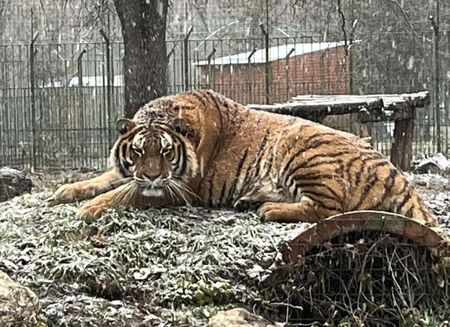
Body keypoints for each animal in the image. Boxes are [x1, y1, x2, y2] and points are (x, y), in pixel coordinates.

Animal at [51, 89, 438, 228]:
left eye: (166, 152)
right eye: (137, 151)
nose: (150, 176)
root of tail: (398, 176)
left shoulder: (181, 189)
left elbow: (124, 193)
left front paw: (90, 208)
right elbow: (105, 179)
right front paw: (67, 191)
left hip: (303, 151)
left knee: (330, 210)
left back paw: (268, 209)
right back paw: (250, 201)